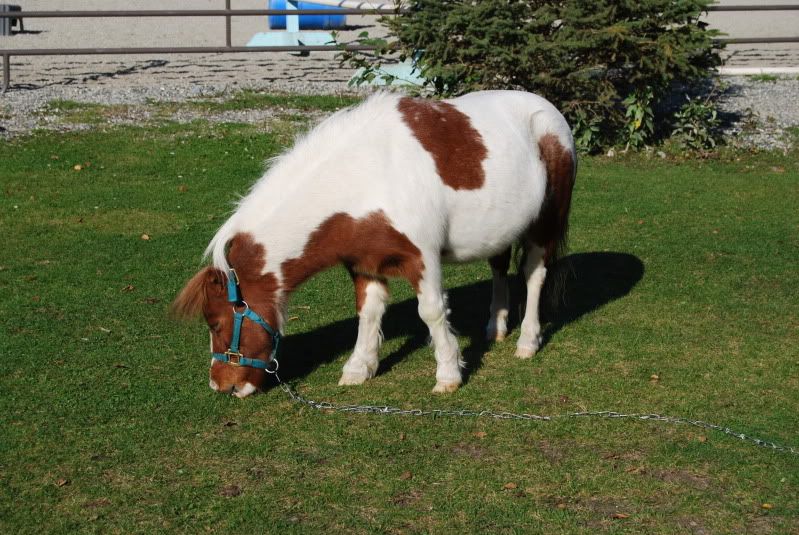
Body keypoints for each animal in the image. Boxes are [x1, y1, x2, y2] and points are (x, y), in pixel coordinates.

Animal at [173, 91, 576, 398]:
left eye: (215, 323)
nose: (221, 385)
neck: (367, 175)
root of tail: (549, 111)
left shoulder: (423, 258)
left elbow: (431, 312)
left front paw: (448, 374)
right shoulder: (364, 263)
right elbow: (368, 312)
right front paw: (359, 367)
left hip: (544, 225)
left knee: (534, 275)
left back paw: (527, 341)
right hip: (499, 232)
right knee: (499, 269)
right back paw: (497, 327)